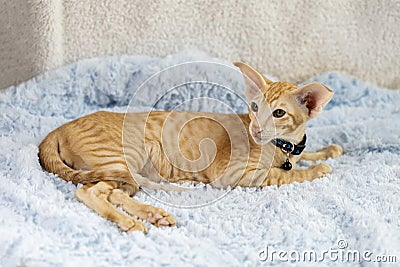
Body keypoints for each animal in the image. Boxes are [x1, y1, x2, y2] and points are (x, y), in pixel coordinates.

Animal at [39, 61, 342, 233]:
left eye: (278, 113)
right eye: (255, 108)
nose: (256, 130)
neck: (282, 146)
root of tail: (56, 130)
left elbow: (301, 156)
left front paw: (326, 151)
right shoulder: (232, 175)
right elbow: (282, 174)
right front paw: (317, 168)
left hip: (124, 172)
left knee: (109, 192)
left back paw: (153, 215)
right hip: (128, 156)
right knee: (87, 192)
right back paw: (131, 221)